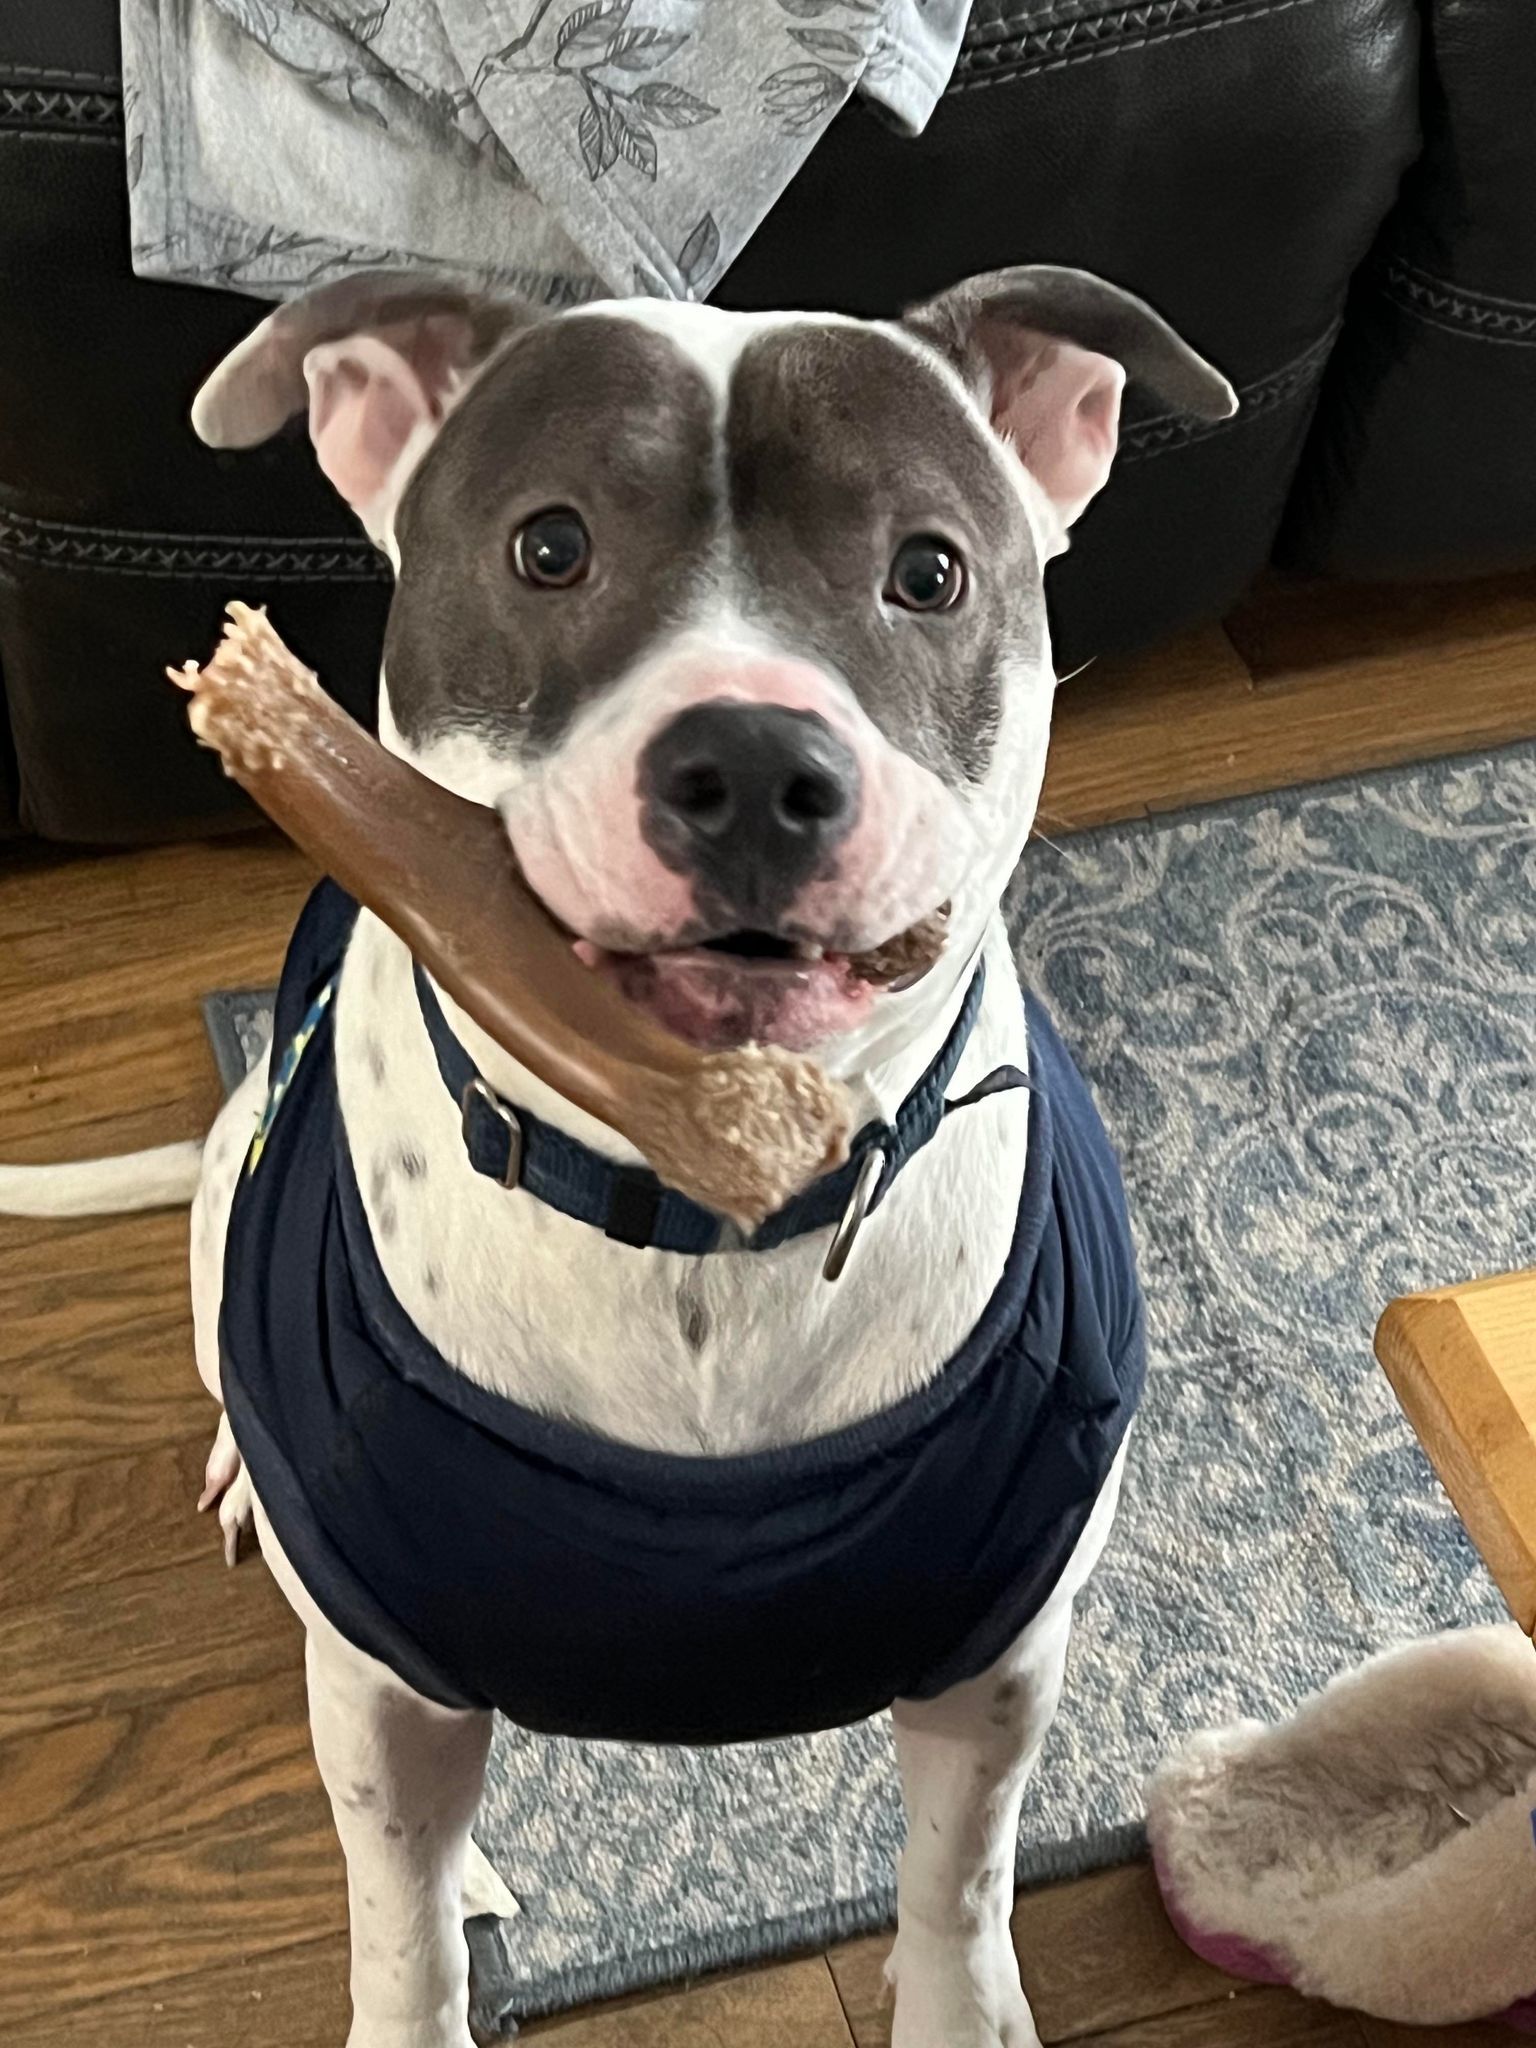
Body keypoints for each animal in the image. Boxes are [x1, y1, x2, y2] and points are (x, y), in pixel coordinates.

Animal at [0, 272, 1236, 2048]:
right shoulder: (385, 1699)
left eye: (929, 570)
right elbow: (406, 1935)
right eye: (550, 546)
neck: (702, 1196)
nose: (759, 770)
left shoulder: (996, 1663)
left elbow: (961, 1883)